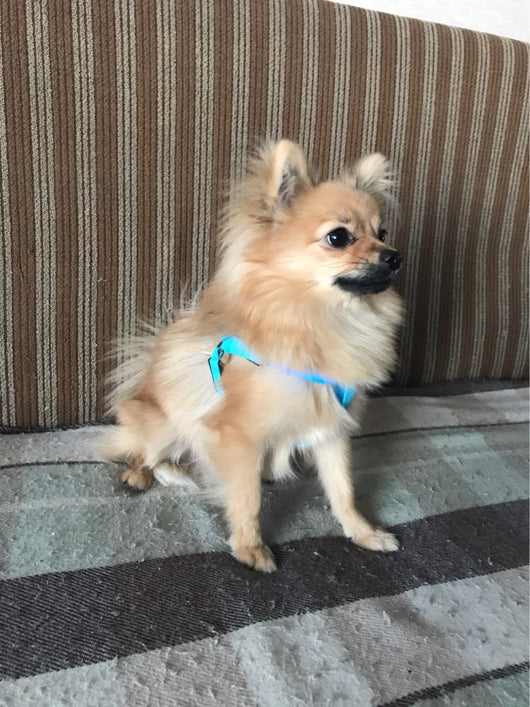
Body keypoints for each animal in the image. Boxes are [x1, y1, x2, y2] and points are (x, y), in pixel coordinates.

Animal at [102, 140, 404, 572]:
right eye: (339, 237)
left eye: (382, 233)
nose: (394, 256)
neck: (325, 320)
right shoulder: (237, 435)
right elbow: (247, 497)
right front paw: (250, 547)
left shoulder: (331, 427)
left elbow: (343, 488)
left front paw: (363, 533)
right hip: (162, 424)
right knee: (144, 452)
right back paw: (139, 474)